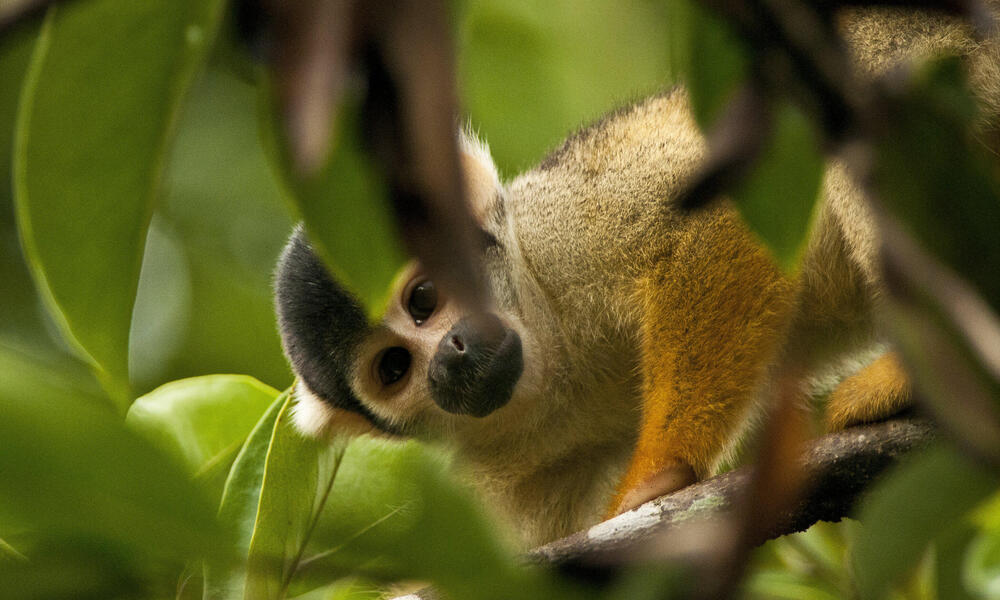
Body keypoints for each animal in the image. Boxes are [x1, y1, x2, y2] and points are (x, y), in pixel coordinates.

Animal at [274, 7, 1000, 548]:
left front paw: (660, 473)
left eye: (423, 299)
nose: (450, 353)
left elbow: (726, 216)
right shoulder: (508, 464)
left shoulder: (560, 228)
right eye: (394, 368)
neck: (552, 358)